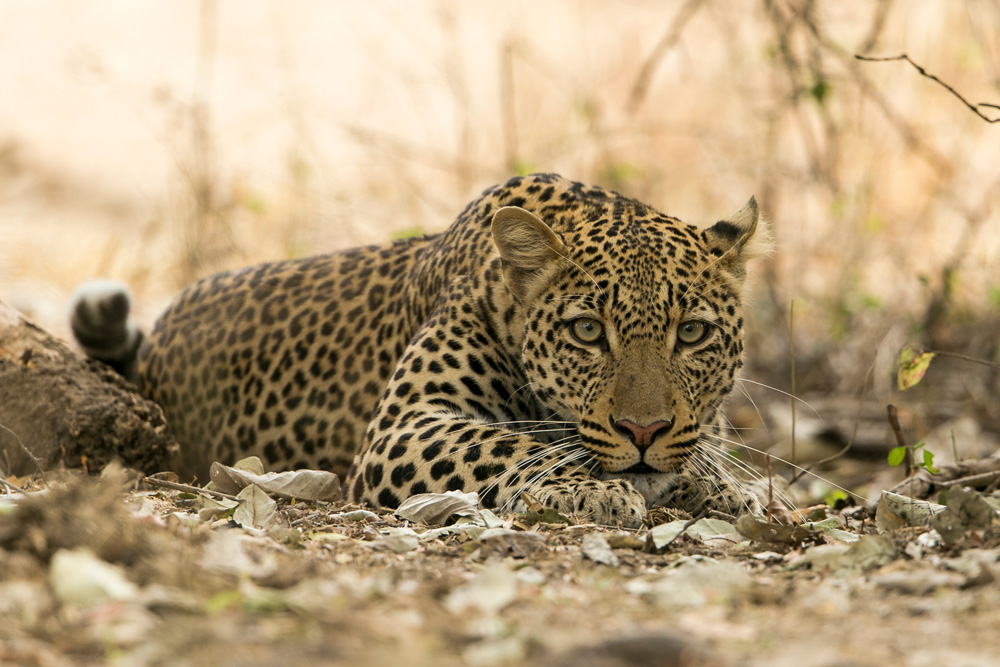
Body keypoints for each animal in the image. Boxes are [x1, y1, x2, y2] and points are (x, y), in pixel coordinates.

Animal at [72, 174, 772, 528]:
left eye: (692, 333)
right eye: (587, 332)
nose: (644, 430)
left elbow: (708, 457)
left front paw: (732, 492)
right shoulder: (404, 425)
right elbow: (513, 444)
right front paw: (590, 489)